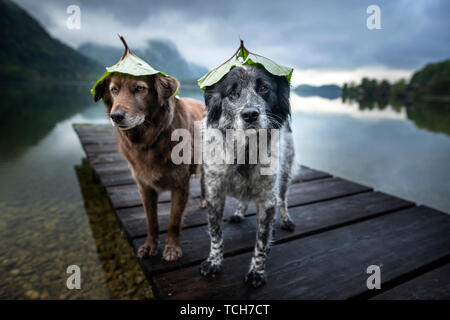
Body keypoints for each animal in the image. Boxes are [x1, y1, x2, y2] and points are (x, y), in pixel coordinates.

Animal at [94, 74, 205, 262]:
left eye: (140, 88)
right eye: (114, 90)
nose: (116, 116)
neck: (152, 139)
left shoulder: (180, 186)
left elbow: (174, 221)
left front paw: (172, 248)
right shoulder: (144, 186)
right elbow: (151, 221)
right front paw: (149, 246)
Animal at [200, 65, 296, 288]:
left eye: (264, 88)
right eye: (232, 93)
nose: (250, 114)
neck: (244, 151)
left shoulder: (268, 200)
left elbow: (261, 240)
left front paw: (257, 271)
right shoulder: (214, 193)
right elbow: (215, 233)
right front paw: (214, 261)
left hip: (285, 174)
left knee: (283, 199)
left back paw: (285, 220)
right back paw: (239, 213)